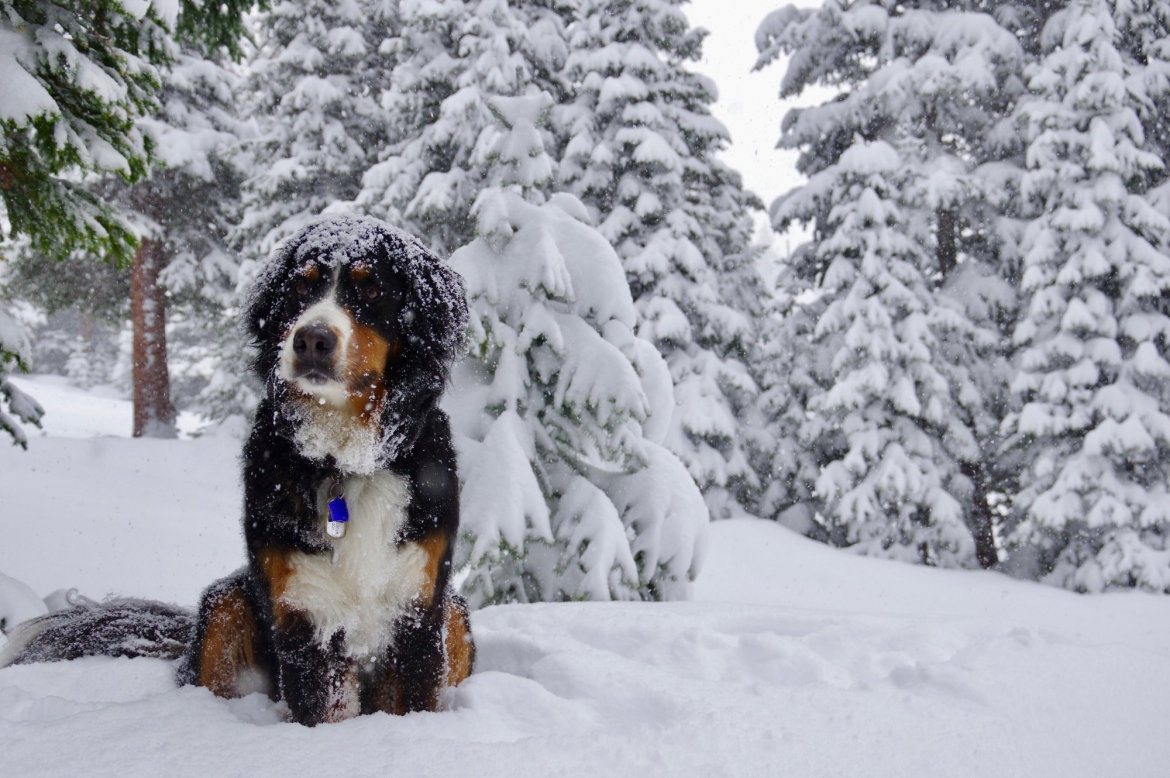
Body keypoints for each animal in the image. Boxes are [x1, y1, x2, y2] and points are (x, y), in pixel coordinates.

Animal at [0, 215, 474, 725]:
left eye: (370, 290)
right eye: (299, 288)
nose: (311, 339)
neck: (346, 460)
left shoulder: (418, 610)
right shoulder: (303, 610)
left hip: (456, 613)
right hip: (225, 603)